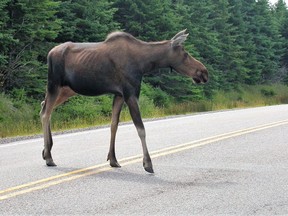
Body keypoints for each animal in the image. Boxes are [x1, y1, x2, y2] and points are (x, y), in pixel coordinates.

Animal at [40, 29, 207, 173]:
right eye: (185, 53)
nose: (204, 72)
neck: (144, 64)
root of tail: (49, 54)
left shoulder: (119, 95)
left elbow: (114, 125)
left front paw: (113, 159)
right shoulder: (130, 93)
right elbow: (141, 129)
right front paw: (148, 163)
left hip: (67, 89)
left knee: (44, 106)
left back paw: (46, 150)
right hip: (54, 84)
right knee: (46, 112)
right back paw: (49, 156)